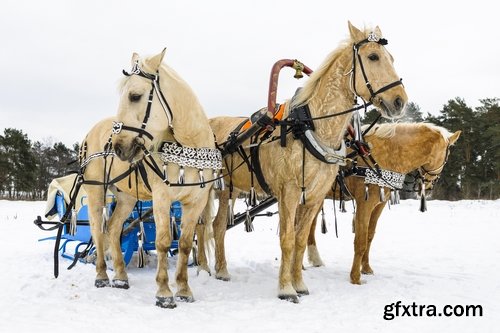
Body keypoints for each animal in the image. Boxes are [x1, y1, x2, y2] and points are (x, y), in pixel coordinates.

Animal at [80, 48, 219, 308]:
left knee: (113, 229)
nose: (119, 148)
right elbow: (163, 242)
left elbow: (185, 244)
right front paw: (164, 292)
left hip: (126, 198)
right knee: (97, 229)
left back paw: (121, 277)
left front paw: (184, 290)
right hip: (95, 190)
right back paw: (102, 275)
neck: (190, 145)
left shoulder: (196, 201)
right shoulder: (162, 197)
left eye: (135, 96)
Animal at [209, 21, 408, 300]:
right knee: (207, 226)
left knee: (216, 226)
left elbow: (301, 239)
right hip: (216, 188)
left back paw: (217, 268)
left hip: (234, 188)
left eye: (391, 58)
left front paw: (300, 284)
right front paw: (285, 288)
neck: (309, 126)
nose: (400, 101)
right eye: (373, 57)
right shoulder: (289, 192)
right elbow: (287, 239)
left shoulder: (315, 196)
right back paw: (212, 268)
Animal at [304, 121, 460, 282]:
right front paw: (355, 277)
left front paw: (366, 268)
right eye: (447, 157)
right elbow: (360, 240)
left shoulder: (379, 205)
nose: (429, 188)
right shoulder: (364, 203)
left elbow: (369, 236)